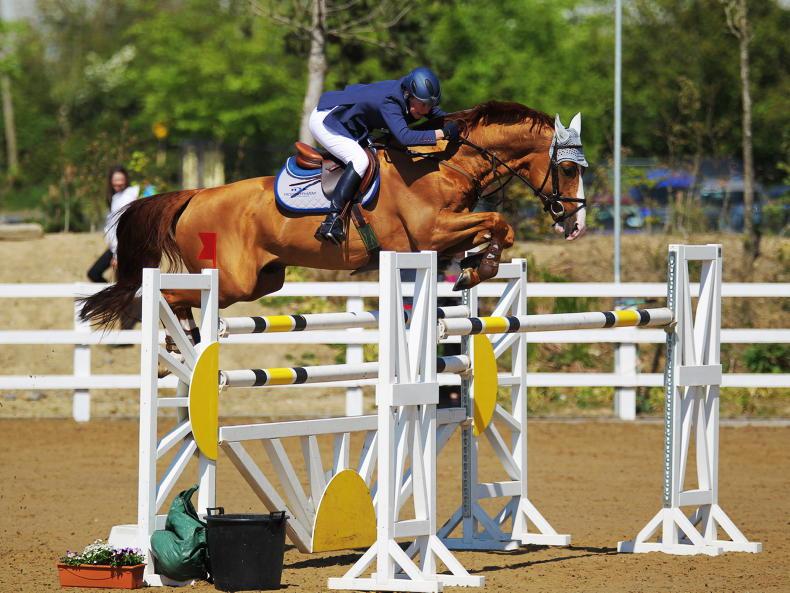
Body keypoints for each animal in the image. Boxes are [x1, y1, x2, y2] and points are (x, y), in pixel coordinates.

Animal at [80, 101, 587, 331]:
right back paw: (176, 339)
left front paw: (474, 268)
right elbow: (499, 224)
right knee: (171, 295)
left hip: (264, 280)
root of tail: (195, 195)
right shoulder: (431, 232)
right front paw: (478, 267)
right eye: (567, 169)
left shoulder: (442, 236)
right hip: (233, 279)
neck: (444, 165)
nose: (575, 224)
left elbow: (495, 231)